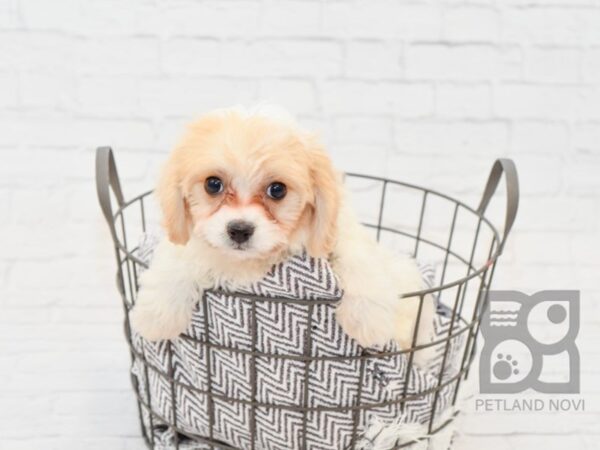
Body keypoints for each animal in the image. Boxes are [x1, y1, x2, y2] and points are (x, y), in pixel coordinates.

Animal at [131, 105, 434, 358]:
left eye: (277, 190)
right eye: (213, 184)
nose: (239, 230)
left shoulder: (341, 232)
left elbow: (358, 258)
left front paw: (368, 320)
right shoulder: (193, 240)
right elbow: (178, 258)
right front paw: (155, 316)